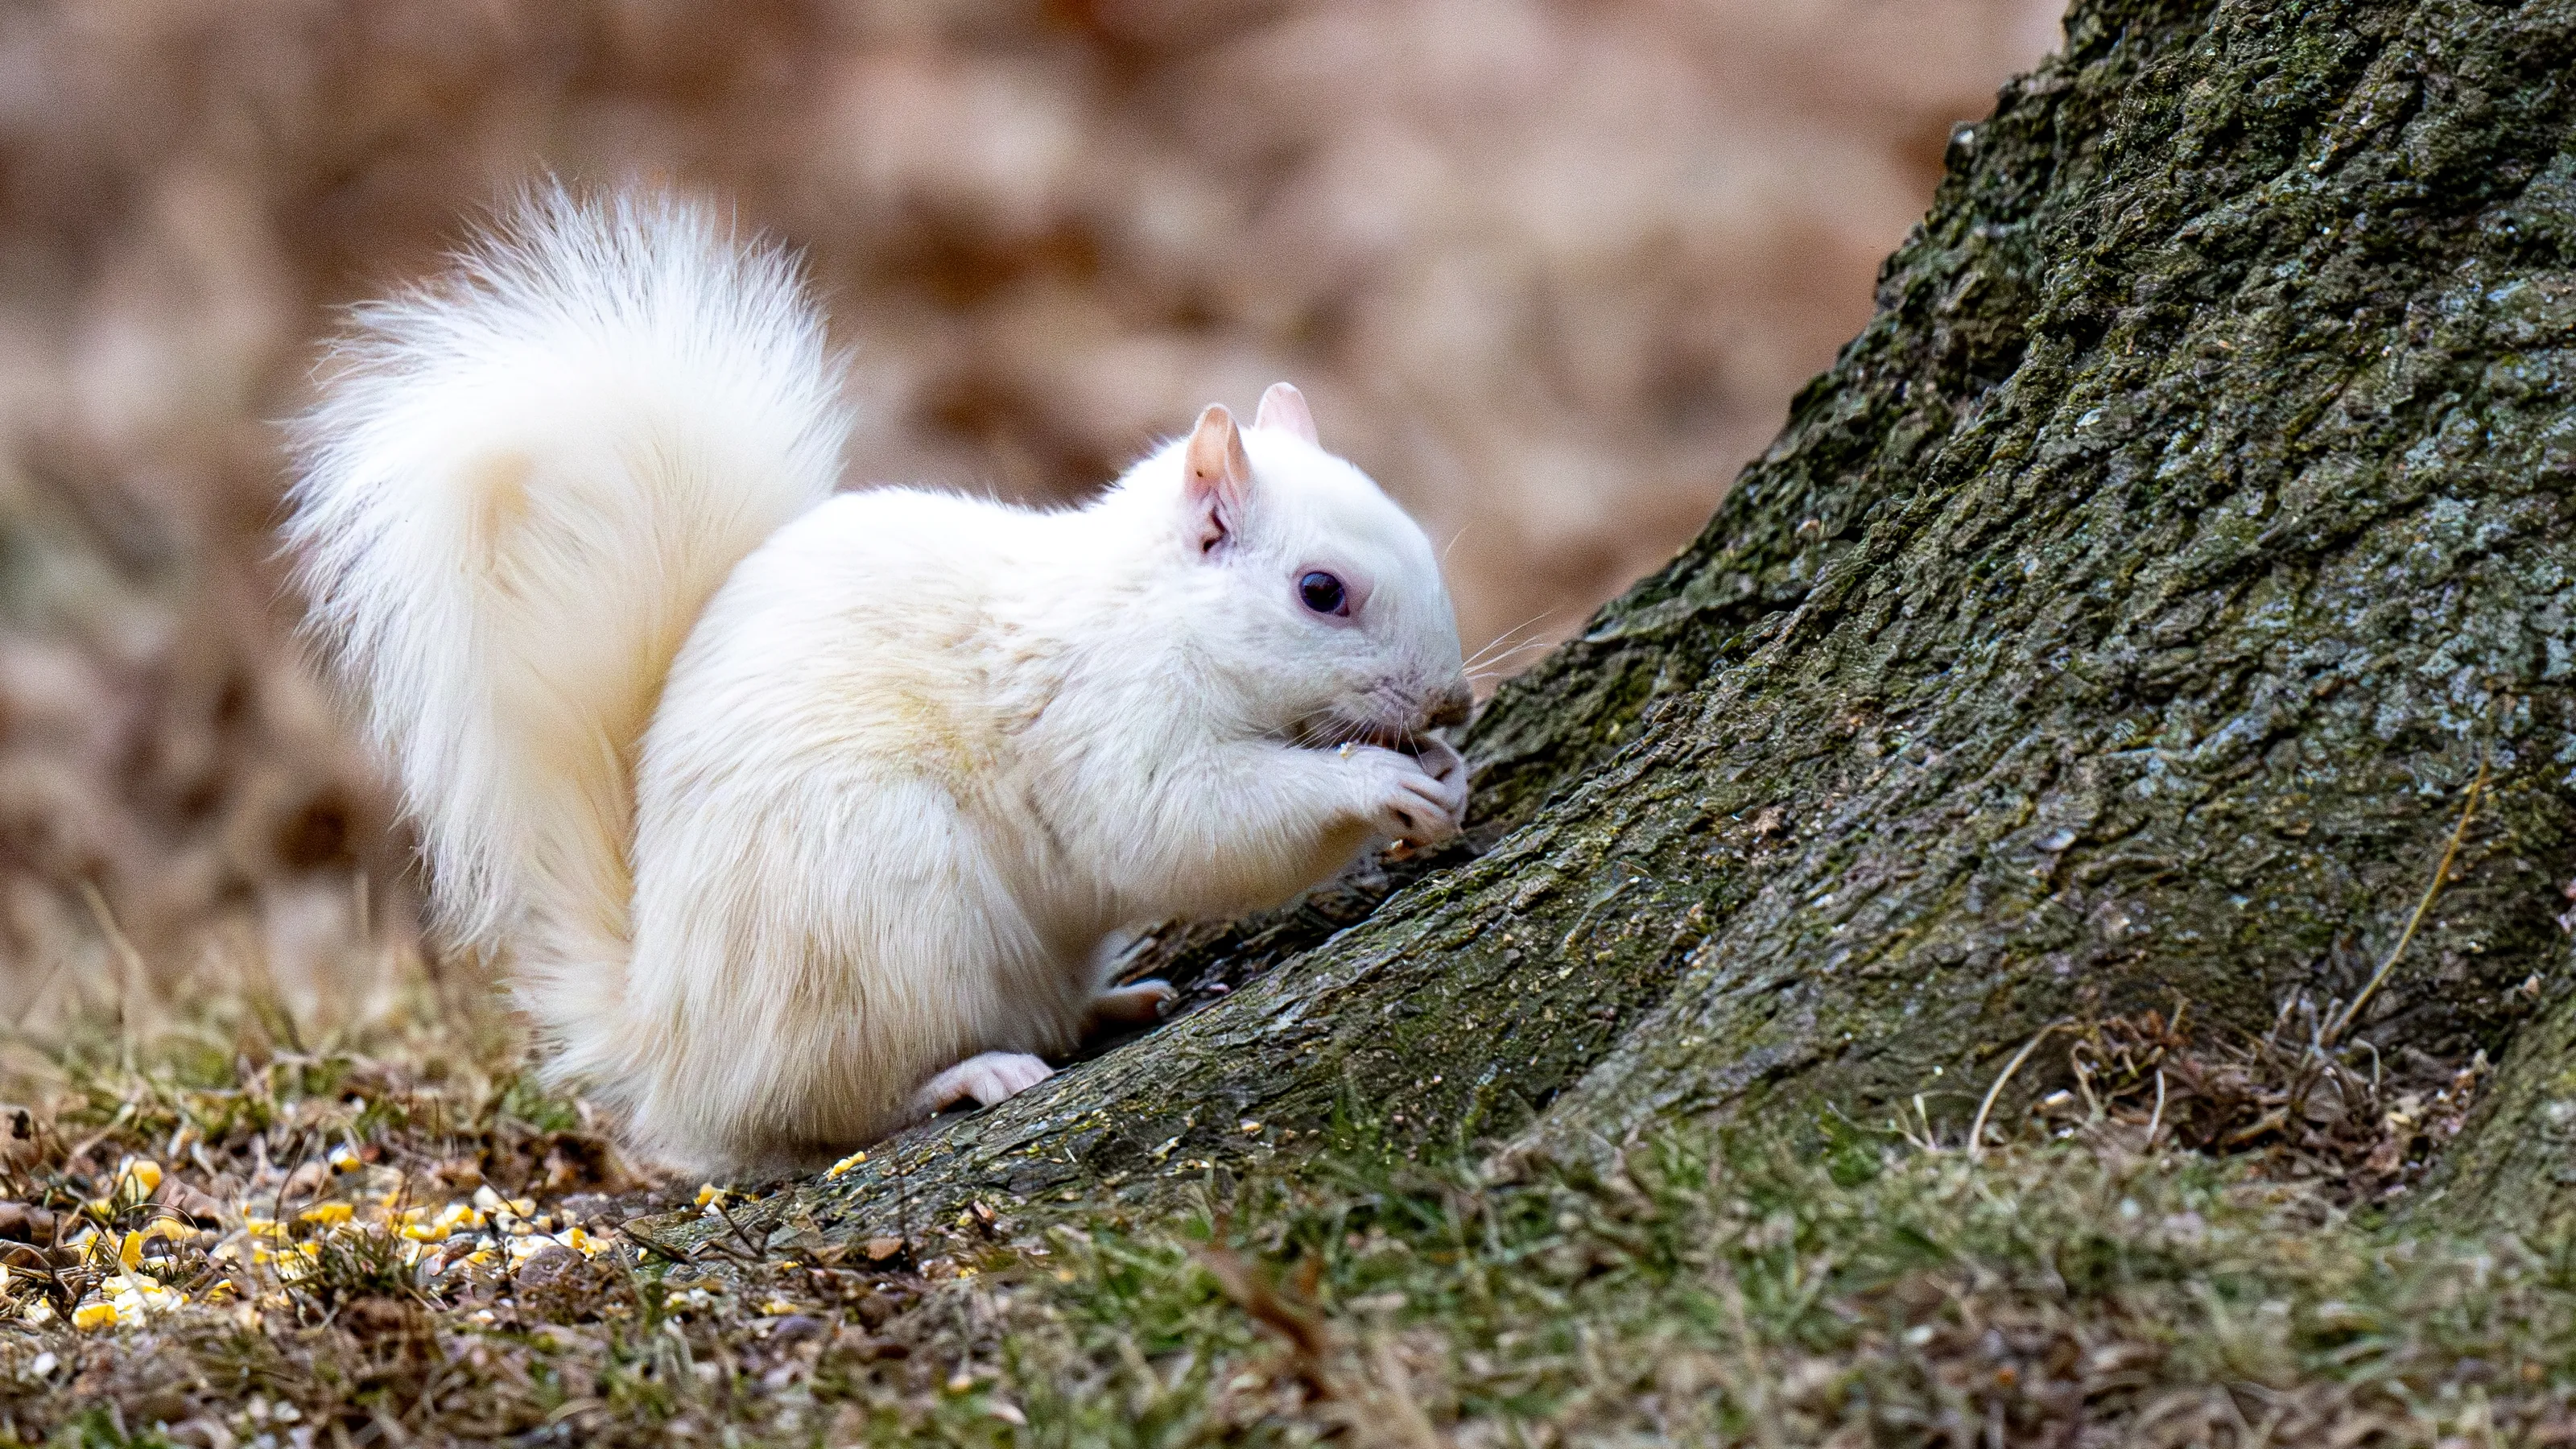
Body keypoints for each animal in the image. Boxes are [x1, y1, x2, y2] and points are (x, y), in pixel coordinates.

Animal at [283, 190, 1473, 1176]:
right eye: (1321, 592)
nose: (1451, 702)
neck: (1154, 615)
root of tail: (668, 1037)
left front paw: (1446, 768)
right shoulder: (1104, 727)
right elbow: (1177, 830)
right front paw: (1378, 786)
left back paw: (1111, 1005)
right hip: (879, 907)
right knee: (830, 1114)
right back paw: (966, 1076)